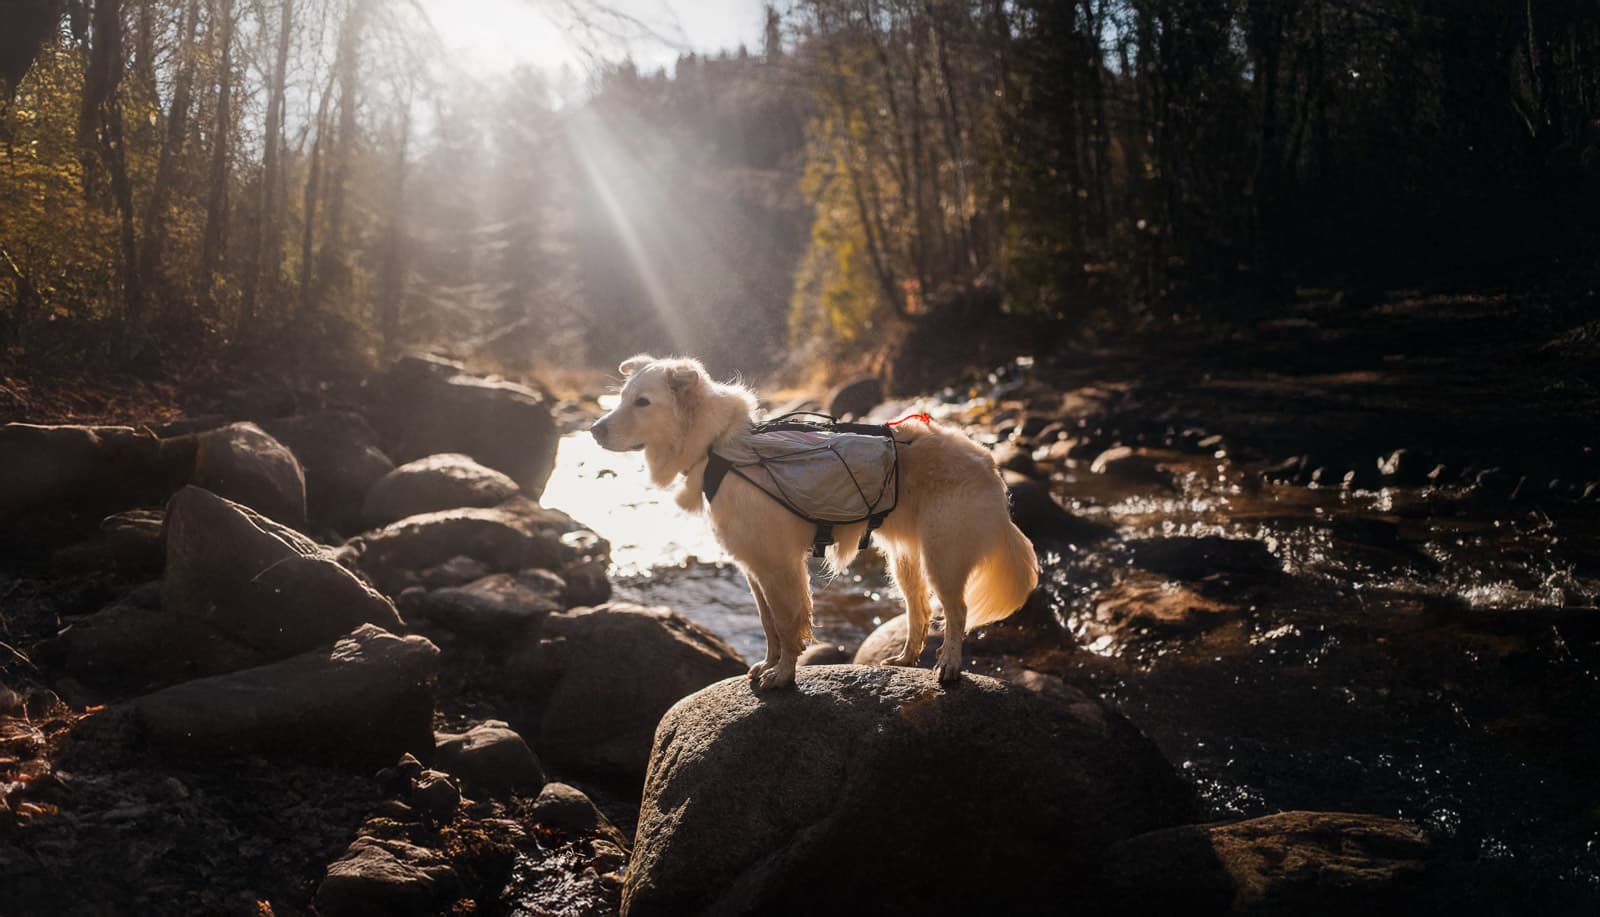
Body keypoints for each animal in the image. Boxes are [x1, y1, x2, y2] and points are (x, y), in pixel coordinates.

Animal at [588, 353, 1036, 691]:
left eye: (643, 402)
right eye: (622, 397)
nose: (594, 430)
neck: (718, 448)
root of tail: (987, 463)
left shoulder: (779, 565)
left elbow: (788, 624)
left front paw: (782, 675)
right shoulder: (754, 567)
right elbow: (768, 623)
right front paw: (767, 665)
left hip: (943, 556)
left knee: (956, 611)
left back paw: (949, 665)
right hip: (905, 558)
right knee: (919, 608)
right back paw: (907, 657)